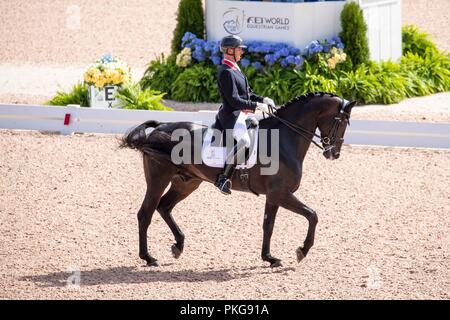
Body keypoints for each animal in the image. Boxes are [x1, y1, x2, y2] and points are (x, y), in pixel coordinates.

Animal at [121, 92, 356, 268]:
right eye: (341, 121)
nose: (334, 154)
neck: (284, 139)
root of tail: (159, 128)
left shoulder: (274, 196)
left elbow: (268, 225)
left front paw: (270, 258)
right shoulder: (282, 193)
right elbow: (312, 215)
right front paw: (302, 251)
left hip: (186, 182)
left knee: (164, 207)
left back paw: (178, 246)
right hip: (158, 180)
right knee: (146, 213)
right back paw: (149, 258)